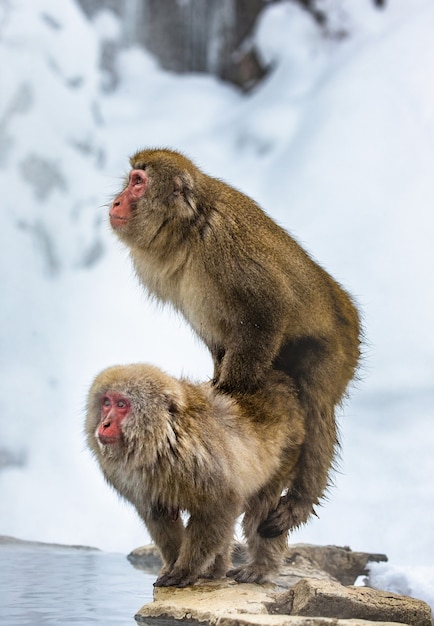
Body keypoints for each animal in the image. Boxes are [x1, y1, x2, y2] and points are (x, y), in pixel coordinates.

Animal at [85, 360, 306, 584]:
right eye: (106, 403)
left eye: (121, 404)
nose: (104, 424)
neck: (163, 440)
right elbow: (158, 515)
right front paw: (173, 563)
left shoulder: (202, 459)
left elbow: (220, 505)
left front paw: (185, 570)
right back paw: (216, 568)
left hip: (288, 451)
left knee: (262, 507)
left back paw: (261, 567)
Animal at [110, 147, 362, 536]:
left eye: (138, 182)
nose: (117, 200)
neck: (189, 229)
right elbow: (217, 336)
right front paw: (217, 385)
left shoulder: (224, 246)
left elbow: (269, 308)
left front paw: (230, 394)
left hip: (340, 345)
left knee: (316, 400)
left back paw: (299, 502)